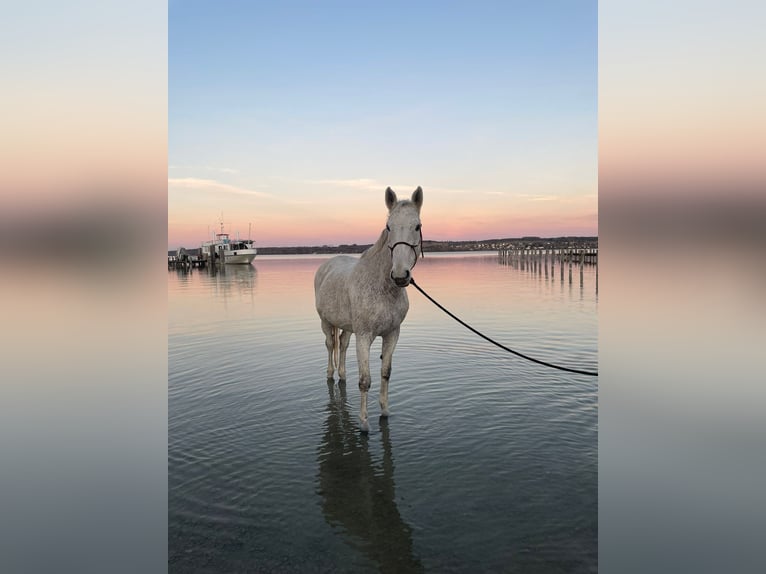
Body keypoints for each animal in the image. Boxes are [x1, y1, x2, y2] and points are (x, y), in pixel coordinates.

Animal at [314, 186, 423, 432]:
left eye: (417, 226)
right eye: (389, 227)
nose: (400, 276)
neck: (383, 287)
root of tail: (327, 264)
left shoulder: (392, 334)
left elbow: (385, 373)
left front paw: (385, 411)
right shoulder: (364, 336)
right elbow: (365, 380)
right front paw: (364, 423)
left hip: (347, 327)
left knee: (342, 345)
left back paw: (342, 376)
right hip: (326, 322)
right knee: (330, 345)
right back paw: (330, 374)